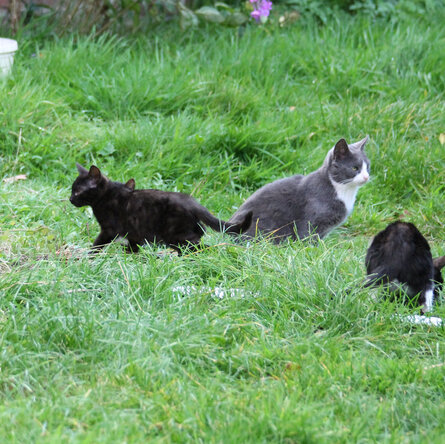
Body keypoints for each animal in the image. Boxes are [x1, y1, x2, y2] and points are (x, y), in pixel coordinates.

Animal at [68, 163, 251, 253]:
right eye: (72, 190)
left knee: (200, 247)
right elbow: (133, 247)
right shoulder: (134, 233)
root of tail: (193, 202)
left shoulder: (109, 230)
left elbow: (97, 244)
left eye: (77, 191)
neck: (105, 196)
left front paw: (90, 256)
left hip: (178, 236)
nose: (70, 199)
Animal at [227, 138, 370, 245]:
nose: (366, 177)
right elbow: (306, 236)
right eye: (354, 168)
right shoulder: (310, 220)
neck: (342, 190)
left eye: (367, 167)